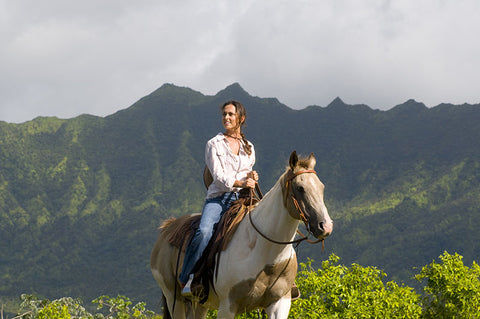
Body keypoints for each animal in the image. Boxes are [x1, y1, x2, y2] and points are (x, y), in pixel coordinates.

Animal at [151, 151, 334, 318]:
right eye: (300, 188)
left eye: (322, 187)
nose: (325, 226)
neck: (265, 252)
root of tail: (168, 228)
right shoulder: (228, 305)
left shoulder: (280, 303)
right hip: (174, 298)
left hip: (200, 304)